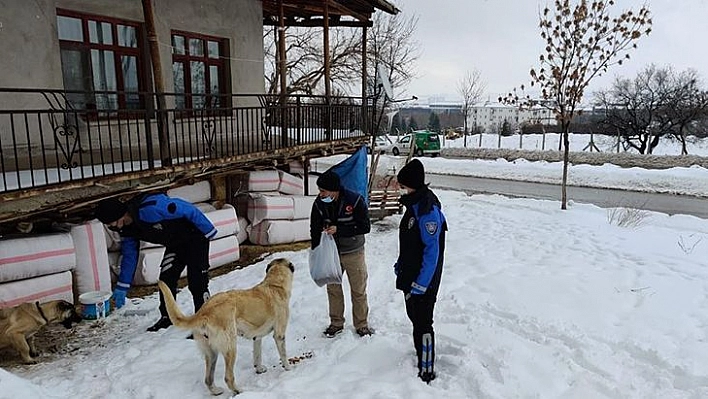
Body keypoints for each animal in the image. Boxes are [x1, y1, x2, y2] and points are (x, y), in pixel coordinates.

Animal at [158, 260, 296, 396]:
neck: (274, 285)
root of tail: (204, 311)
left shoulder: (256, 337)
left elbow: (257, 355)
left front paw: (259, 369)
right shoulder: (279, 334)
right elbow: (283, 354)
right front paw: (288, 368)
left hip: (211, 352)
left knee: (208, 379)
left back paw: (216, 391)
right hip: (230, 347)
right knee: (228, 377)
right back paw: (238, 391)